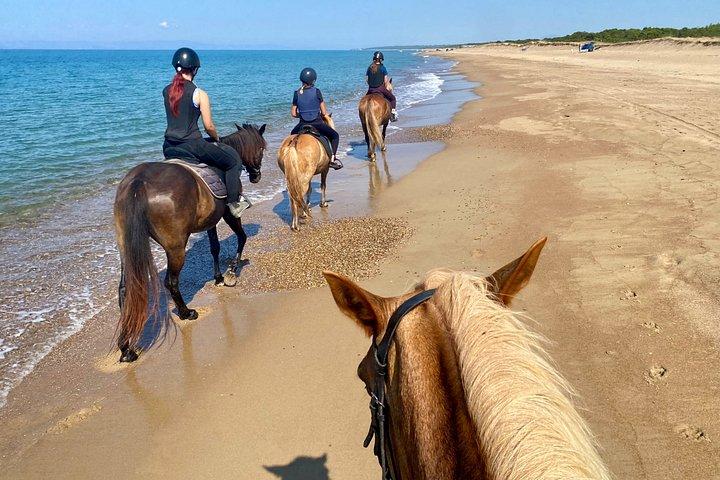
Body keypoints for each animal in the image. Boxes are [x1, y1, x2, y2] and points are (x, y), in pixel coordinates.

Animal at [113, 123, 266, 362]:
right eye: (261, 148)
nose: (256, 176)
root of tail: (140, 182)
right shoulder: (227, 214)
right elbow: (241, 237)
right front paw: (231, 272)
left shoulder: (210, 220)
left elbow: (214, 247)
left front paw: (218, 277)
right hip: (175, 246)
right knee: (171, 282)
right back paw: (186, 313)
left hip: (125, 247)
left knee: (125, 290)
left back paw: (126, 348)